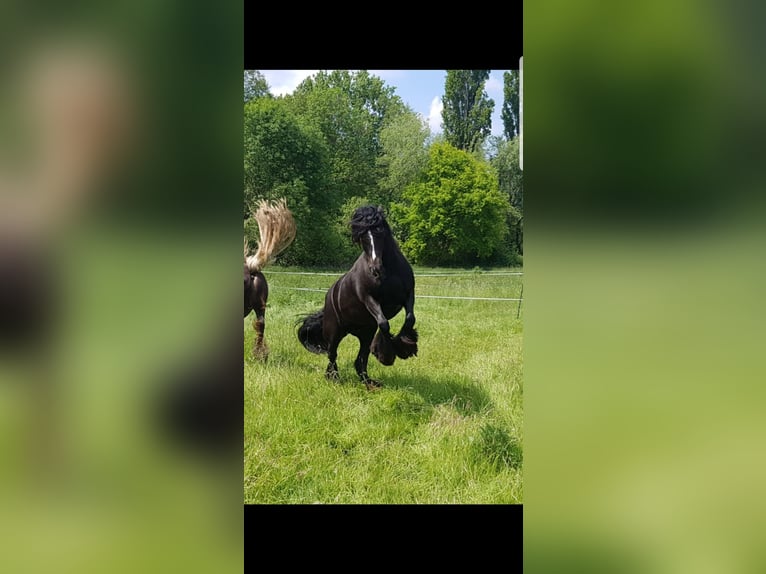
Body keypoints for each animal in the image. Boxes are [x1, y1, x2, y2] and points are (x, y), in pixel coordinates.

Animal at [298, 205, 420, 390]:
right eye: (362, 237)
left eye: (380, 231)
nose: (376, 269)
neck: (389, 273)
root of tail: (329, 296)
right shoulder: (369, 299)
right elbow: (384, 323)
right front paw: (386, 354)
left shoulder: (408, 295)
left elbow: (410, 318)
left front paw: (404, 346)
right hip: (334, 332)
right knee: (332, 355)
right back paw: (334, 379)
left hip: (365, 333)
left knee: (360, 361)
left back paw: (370, 383)